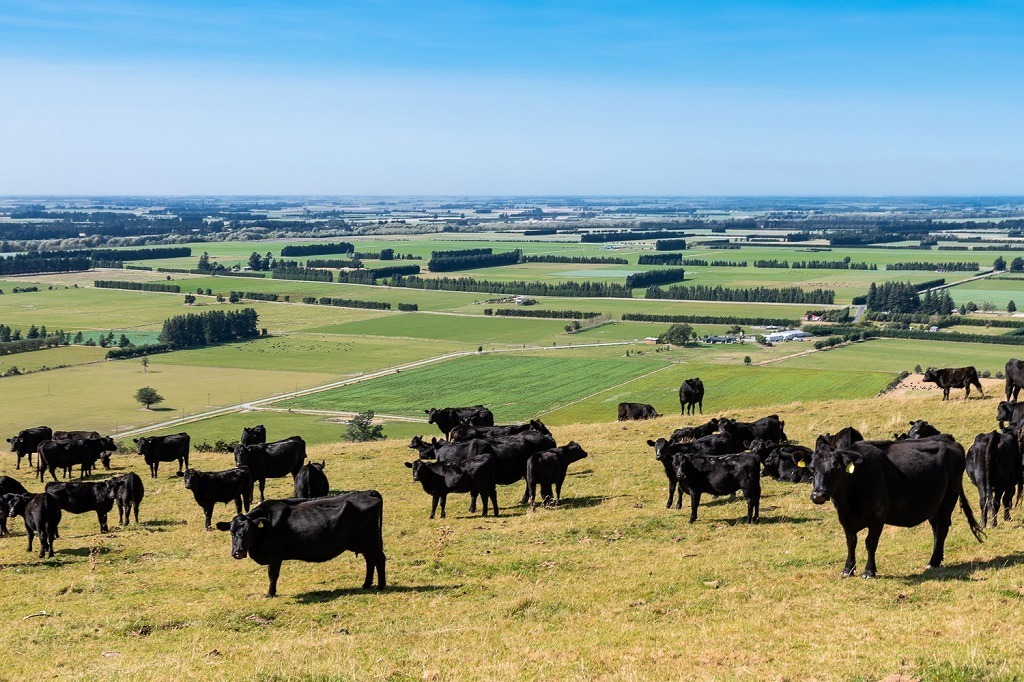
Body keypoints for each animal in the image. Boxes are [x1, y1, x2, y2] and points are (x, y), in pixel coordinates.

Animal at [215, 489, 385, 593]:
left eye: (250, 532)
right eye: (231, 532)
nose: (238, 552)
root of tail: (368, 493)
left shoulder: (275, 555)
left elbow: (272, 574)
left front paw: (270, 593)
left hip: (371, 542)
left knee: (379, 559)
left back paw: (381, 586)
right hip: (365, 544)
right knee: (370, 561)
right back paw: (366, 584)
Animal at [806, 436, 983, 573]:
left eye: (836, 468)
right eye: (812, 468)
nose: (818, 495)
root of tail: (950, 440)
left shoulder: (877, 517)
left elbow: (870, 543)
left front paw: (869, 571)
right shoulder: (844, 518)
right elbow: (851, 542)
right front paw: (848, 569)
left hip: (949, 497)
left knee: (943, 528)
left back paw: (932, 562)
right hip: (935, 505)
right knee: (937, 529)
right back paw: (936, 559)